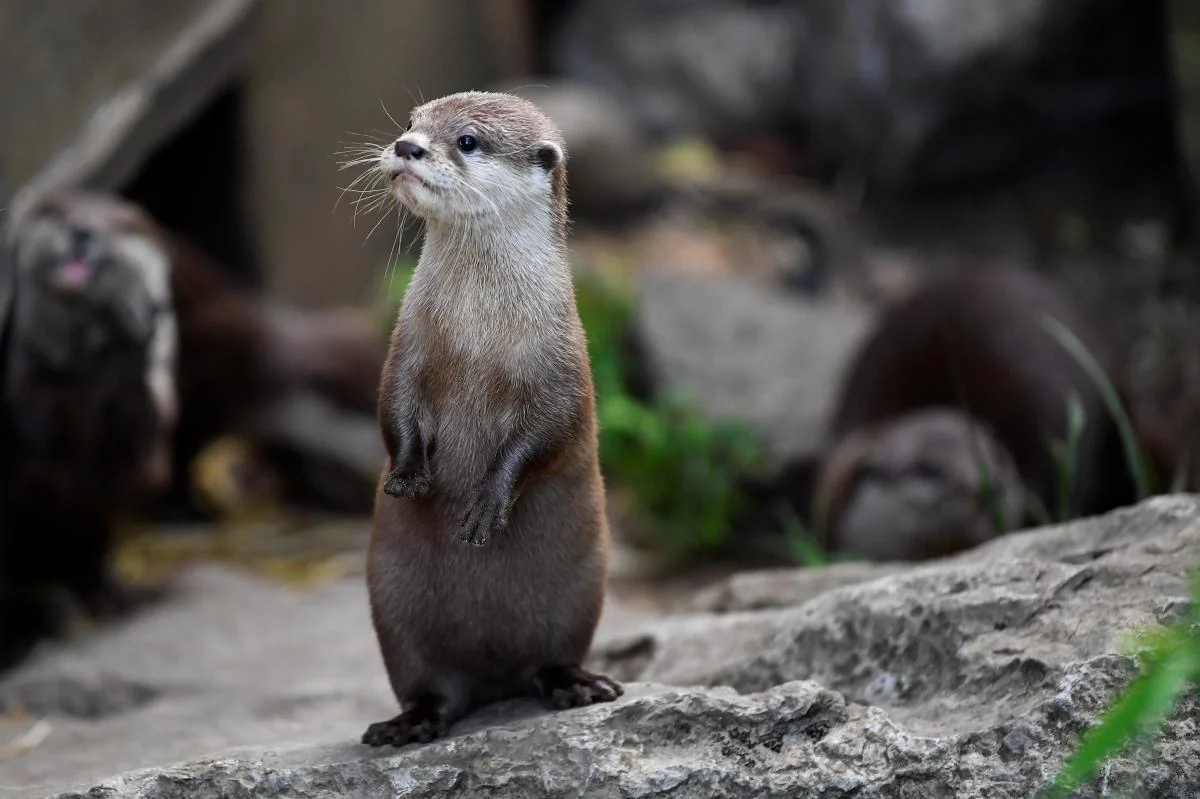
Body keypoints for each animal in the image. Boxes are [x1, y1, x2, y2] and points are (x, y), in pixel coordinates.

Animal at [360, 93, 624, 748]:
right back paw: (409, 723)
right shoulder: (408, 346)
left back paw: (577, 684)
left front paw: (485, 506)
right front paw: (408, 476)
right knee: (431, 685)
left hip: (579, 595)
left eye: (468, 141)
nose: (406, 147)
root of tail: (493, 683)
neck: (477, 334)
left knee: (549, 657)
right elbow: (393, 407)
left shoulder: (563, 364)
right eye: (411, 123)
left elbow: (549, 434)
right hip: (396, 614)